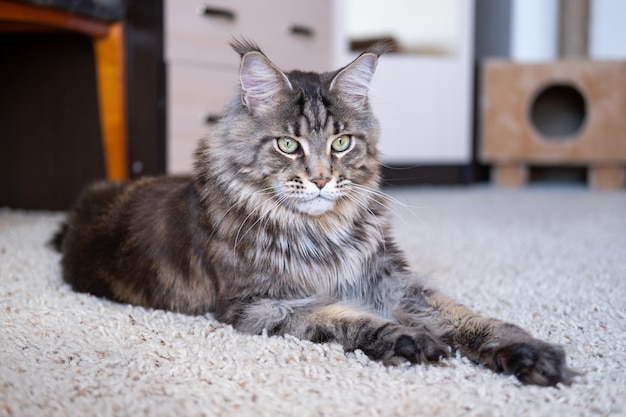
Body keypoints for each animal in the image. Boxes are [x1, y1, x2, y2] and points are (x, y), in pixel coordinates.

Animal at [53, 39, 576, 386]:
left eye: (341, 143)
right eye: (288, 145)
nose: (322, 179)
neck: (324, 230)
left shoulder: (390, 280)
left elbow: (466, 318)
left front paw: (530, 354)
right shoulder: (260, 305)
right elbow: (346, 318)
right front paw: (408, 341)